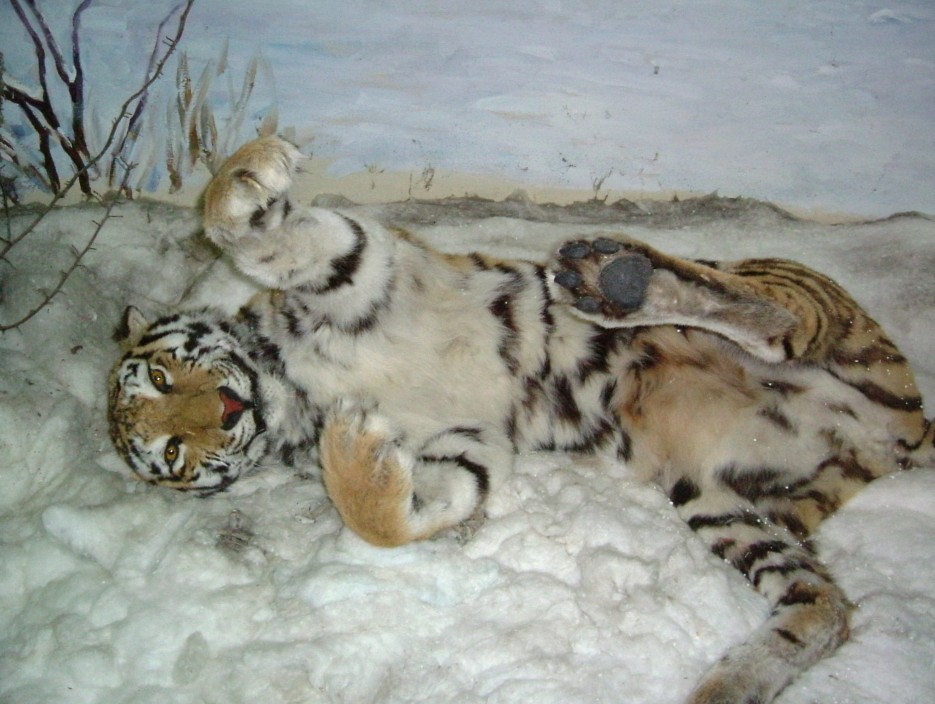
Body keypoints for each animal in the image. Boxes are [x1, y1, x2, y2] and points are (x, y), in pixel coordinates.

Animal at [107, 136, 934, 704]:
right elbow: (409, 513)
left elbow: (259, 235)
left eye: (163, 374)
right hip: (723, 506)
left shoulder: (360, 267)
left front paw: (248, 175)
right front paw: (359, 455)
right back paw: (727, 684)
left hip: (799, 304)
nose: (225, 410)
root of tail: (898, 437)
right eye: (173, 453)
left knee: (766, 315)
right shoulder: (468, 442)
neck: (286, 392)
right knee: (825, 609)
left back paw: (611, 277)